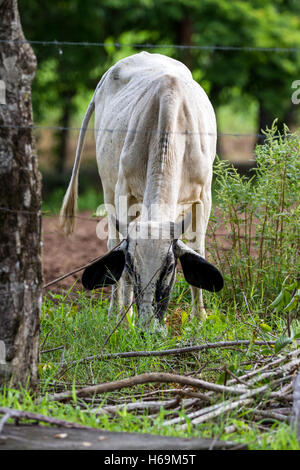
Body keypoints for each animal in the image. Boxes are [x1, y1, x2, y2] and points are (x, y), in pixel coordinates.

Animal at [60, 51, 223, 328]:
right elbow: (120, 257)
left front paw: (199, 317)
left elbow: (198, 247)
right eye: (131, 266)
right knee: (112, 242)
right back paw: (116, 310)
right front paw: (125, 321)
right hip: (108, 186)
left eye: (169, 267)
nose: (148, 328)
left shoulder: (204, 196)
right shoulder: (123, 191)